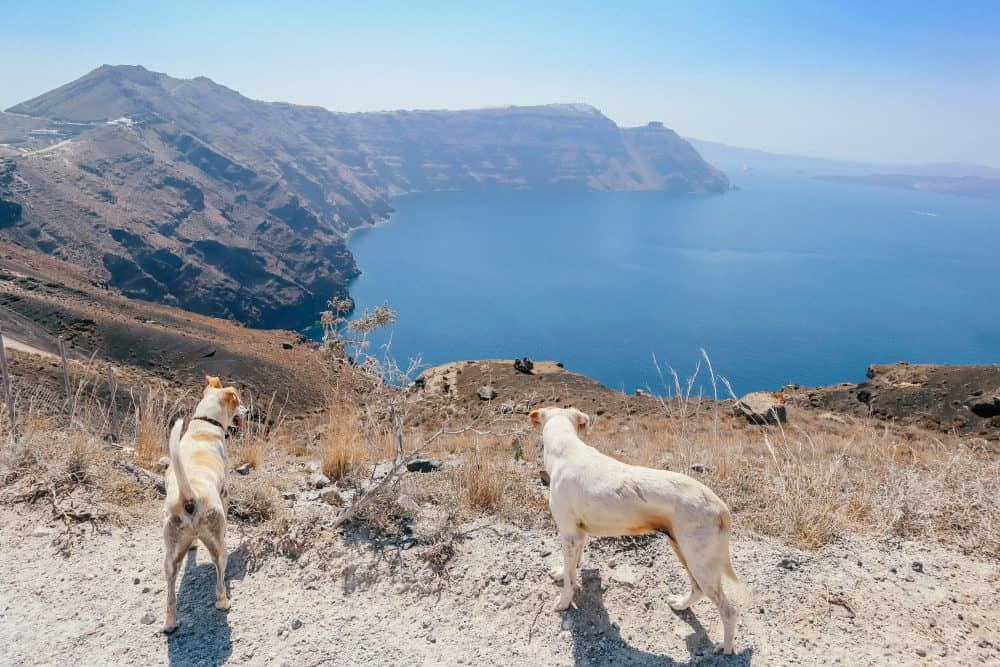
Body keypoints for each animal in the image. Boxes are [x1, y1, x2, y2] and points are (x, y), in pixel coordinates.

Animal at [162, 378, 246, 636]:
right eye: (239, 402)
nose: (248, 411)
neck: (205, 424)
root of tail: (189, 496)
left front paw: (193, 546)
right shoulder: (225, 491)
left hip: (170, 556)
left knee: (170, 596)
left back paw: (170, 624)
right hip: (217, 546)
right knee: (219, 576)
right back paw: (223, 602)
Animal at [532, 404, 744, 656]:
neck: (565, 449)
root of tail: (721, 506)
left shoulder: (569, 533)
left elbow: (569, 578)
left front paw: (565, 601)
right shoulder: (578, 534)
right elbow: (571, 567)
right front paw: (563, 573)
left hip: (701, 563)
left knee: (729, 610)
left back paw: (726, 648)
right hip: (685, 551)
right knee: (697, 590)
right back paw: (681, 604)